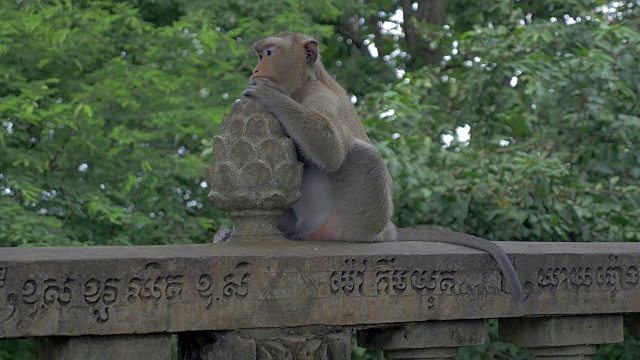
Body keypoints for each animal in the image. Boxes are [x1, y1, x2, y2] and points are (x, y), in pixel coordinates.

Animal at [235, 31, 524, 304]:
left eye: (269, 53)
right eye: (259, 54)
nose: (256, 70)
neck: (305, 84)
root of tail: (386, 228)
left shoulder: (322, 98)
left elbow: (331, 149)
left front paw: (267, 93)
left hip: (360, 218)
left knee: (363, 155)